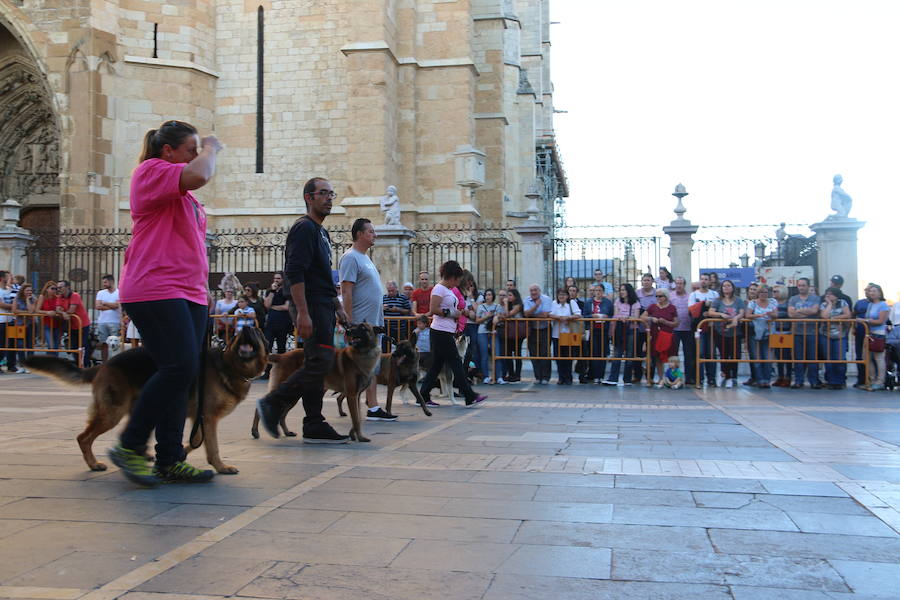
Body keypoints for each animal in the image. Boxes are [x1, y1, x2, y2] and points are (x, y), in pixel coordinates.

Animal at [24, 328, 268, 474]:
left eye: (255, 330)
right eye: (240, 332)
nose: (246, 328)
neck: (229, 365)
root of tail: (105, 364)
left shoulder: (202, 420)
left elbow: (197, 441)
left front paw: (180, 454)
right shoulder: (208, 418)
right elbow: (212, 446)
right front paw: (221, 467)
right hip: (113, 412)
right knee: (83, 438)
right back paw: (95, 464)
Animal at [251, 322, 384, 442]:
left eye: (362, 327)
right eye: (354, 326)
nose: (348, 331)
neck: (362, 354)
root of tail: (282, 356)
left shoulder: (356, 396)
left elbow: (357, 417)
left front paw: (354, 434)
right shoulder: (351, 395)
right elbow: (356, 419)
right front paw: (360, 437)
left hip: (293, 396)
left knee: (282, 414)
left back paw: (286, 432)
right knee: (264, 406)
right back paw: (255, 430)